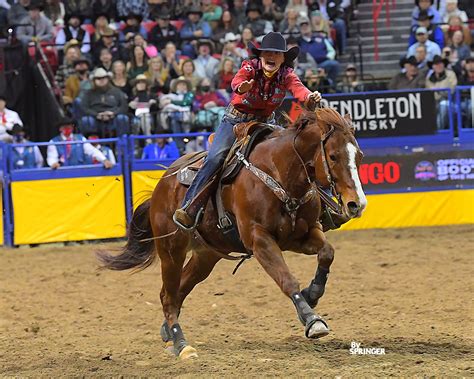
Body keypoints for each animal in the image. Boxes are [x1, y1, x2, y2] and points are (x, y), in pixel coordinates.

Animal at [98, 106, 368, 360]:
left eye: (360, 156)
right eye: (333, 156)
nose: (357, 204)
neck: (279, 172)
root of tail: (162, 184)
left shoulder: (301, 235)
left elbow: (327, 252)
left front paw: (312, 294)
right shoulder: (259, 240)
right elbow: (287, 278)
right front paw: (313, 320)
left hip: (206, 255)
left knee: (179, 289)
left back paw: (168, 333)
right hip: (171, 250)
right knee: (169, 295)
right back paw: (182, 344)